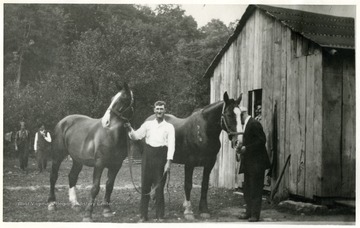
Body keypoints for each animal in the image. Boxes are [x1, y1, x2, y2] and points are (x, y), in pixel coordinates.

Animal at [46, 81, 134, 221]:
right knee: (53, 176)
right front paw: (88, 214)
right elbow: (95, 187)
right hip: (57, 156)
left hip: (77, 160)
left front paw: (107, 209)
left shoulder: (116, 165)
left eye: (123, 99)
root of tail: (63, 122)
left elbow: (109, 186)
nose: (106, 121)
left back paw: (75, 204)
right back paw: (52, 203)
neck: (112, 134)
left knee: (72, 177)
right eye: (112, 99)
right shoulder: (99, 164)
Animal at [144, 91, 242, 220]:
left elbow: (204, 185)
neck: (203, 131)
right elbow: (188, 185)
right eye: (229, 115)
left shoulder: (209, 164)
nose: (238, 143)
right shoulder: (189, 164)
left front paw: (204, 210)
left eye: (241, 115)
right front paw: (188, 211)